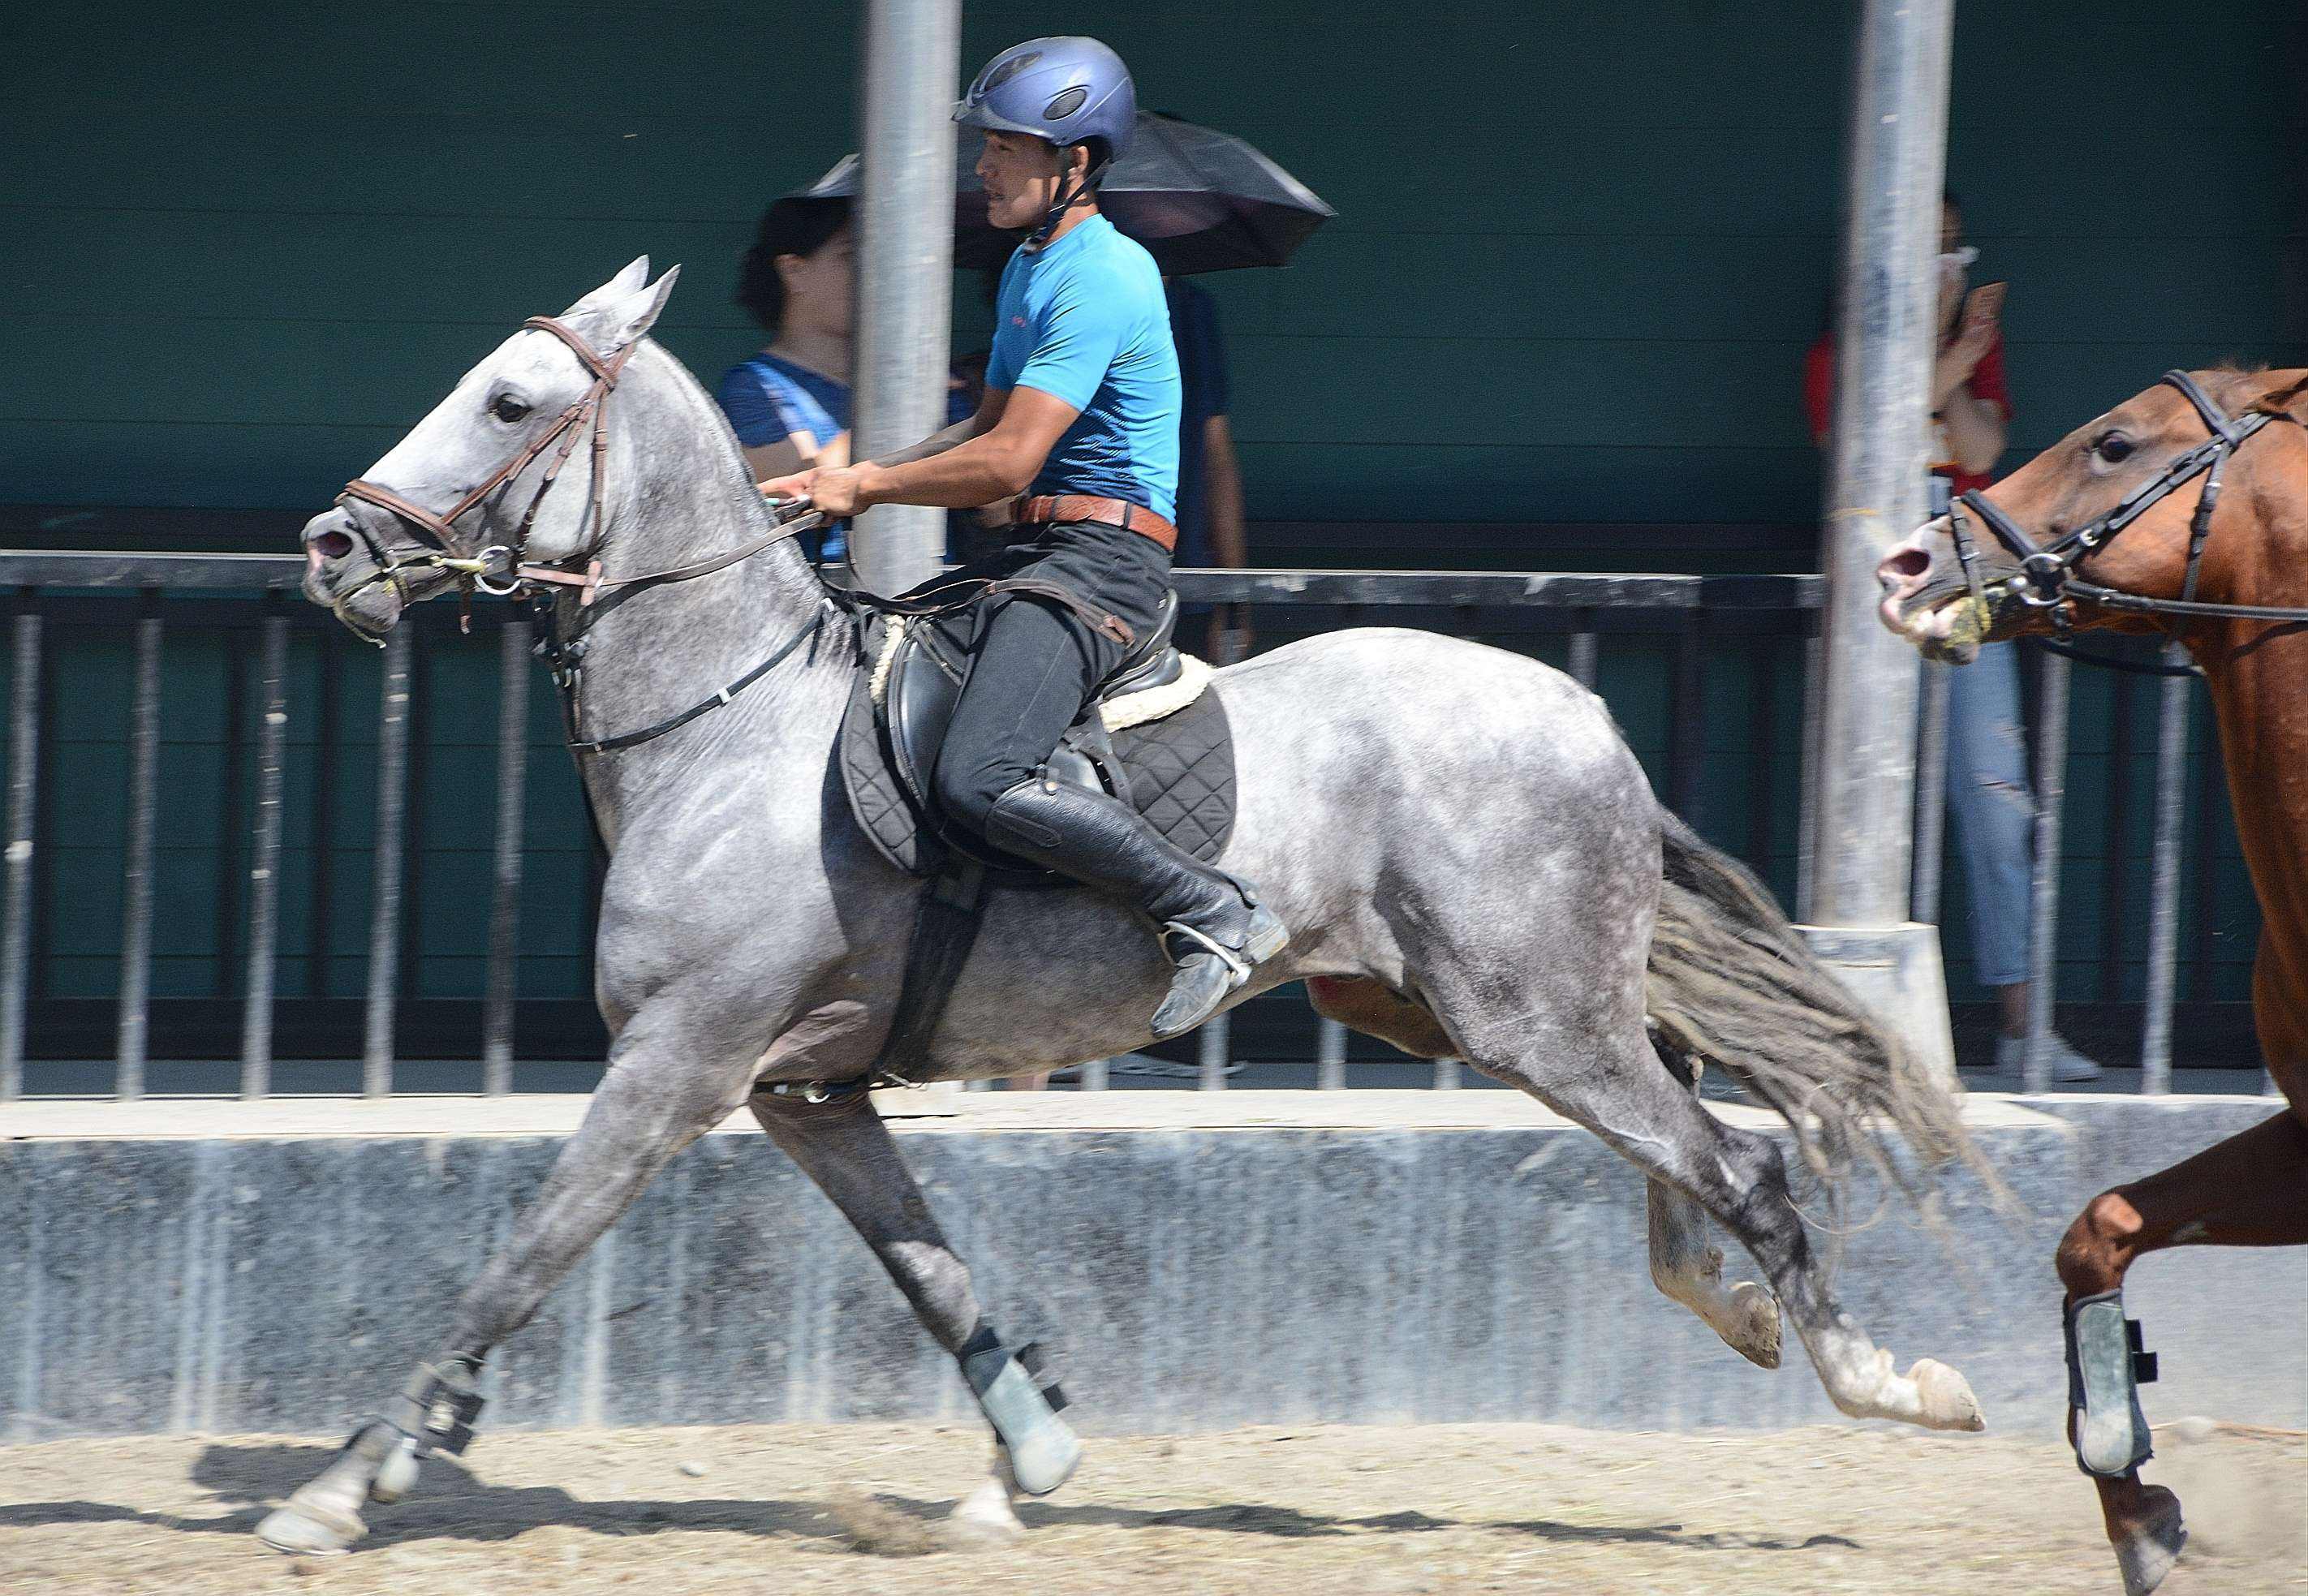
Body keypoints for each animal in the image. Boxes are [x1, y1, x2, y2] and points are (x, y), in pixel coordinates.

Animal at [269, 258, 1994, 1550]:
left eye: (508, 402)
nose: (331, 544)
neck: (726, 725)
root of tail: (1588, 723)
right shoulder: (804, 1091)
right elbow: (930, 1270)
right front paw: (1023, 1466)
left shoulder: (675, 1066)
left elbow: (516, 1257)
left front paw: (346, 1480)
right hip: (1473, 1009)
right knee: (1692, 1145)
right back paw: (1752, 1320)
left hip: (1529, 1018)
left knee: (1735, 1165)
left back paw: (1887, 1381)